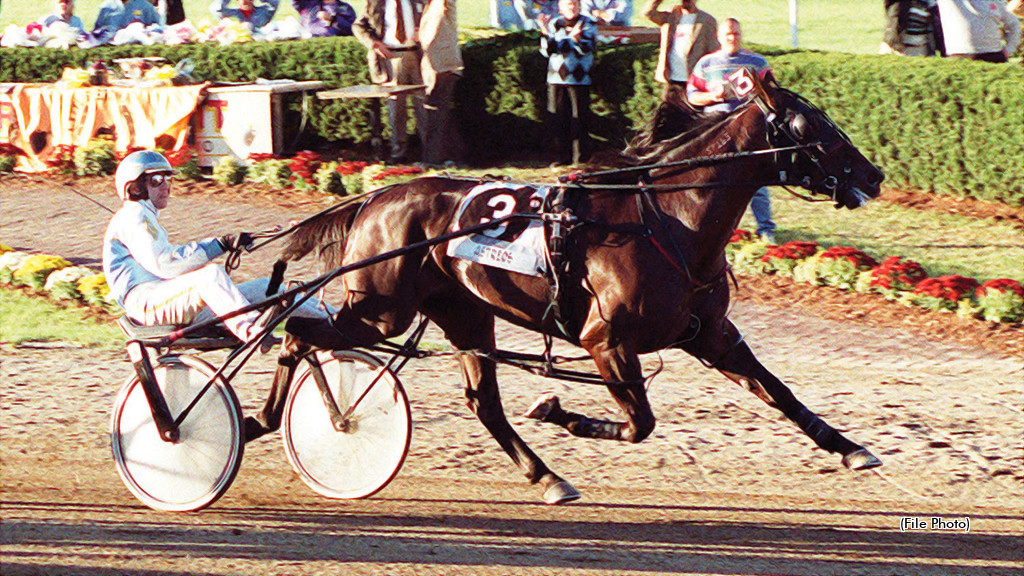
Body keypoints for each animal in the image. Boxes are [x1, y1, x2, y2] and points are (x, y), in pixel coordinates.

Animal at [276, 75, 884, 502]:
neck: (669, 219)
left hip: (464, 313)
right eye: (811, 128)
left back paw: (547, 477)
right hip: (380, 311)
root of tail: (373, 199)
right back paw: (294, 419)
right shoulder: (605, 341)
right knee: (296, 331)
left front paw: (853, 449)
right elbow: (639, 424)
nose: (874, 175)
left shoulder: (710, 333)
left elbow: (778, 391)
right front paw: (557, 411)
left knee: (482, 403)